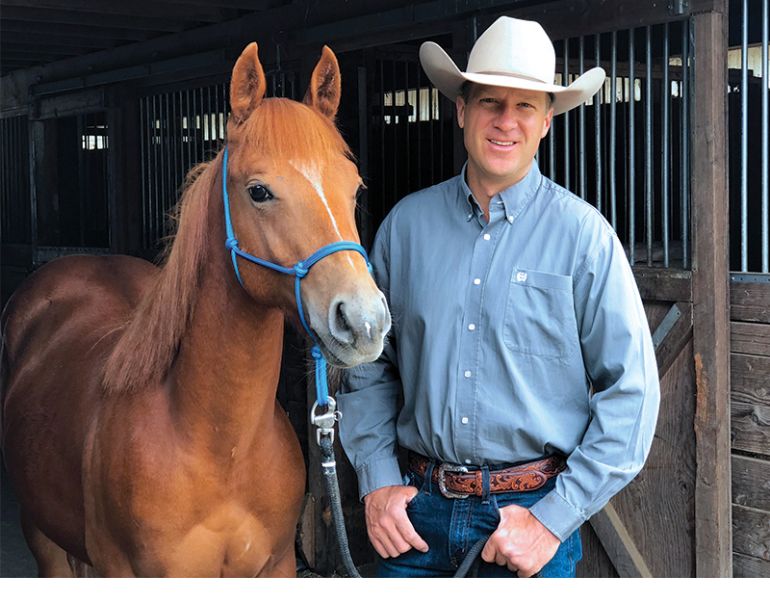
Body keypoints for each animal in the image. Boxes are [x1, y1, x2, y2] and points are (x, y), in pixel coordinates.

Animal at [1, 42, 390, 577]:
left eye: (355, 188)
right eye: (259, 191)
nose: (364, 320)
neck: (220, 449)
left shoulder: (277, 566)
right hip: (43, 540)